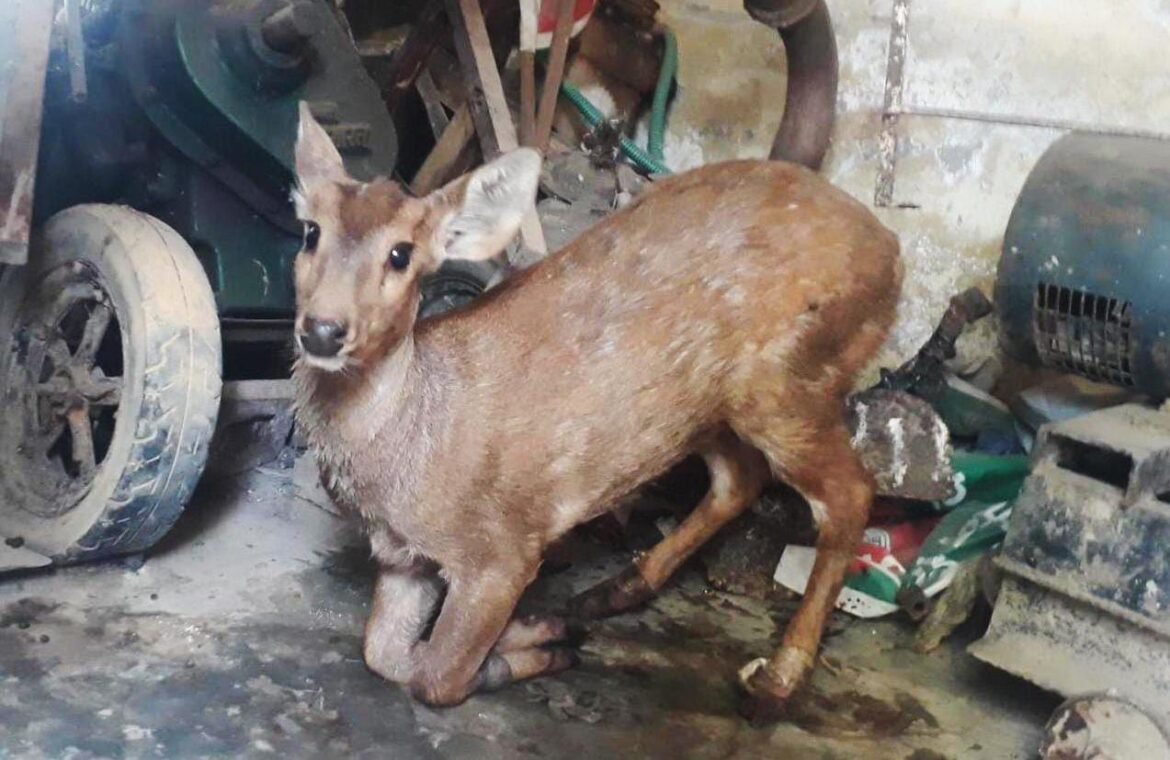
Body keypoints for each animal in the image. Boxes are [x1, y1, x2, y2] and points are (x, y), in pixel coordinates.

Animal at [290, 102, 903, 721]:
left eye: (401, 253)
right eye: (311, 231)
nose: (323, 329)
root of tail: (892, 251)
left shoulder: (500, 549)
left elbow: (436, 676)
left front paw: (525, 646)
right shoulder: (401, 556)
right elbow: (382, 653)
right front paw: (540, 630)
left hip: (793, 380)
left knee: (850, 493)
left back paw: (778, 676)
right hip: (708, 403)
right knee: (739, 479)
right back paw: (611, 592)